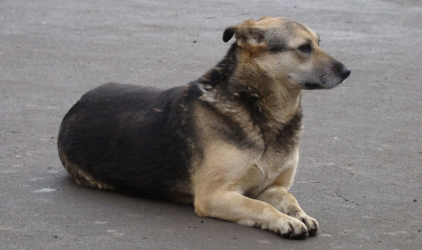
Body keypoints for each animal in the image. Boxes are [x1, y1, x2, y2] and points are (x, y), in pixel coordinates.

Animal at [57, 16, 352, 239]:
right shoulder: (214, 196)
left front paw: (300, 215)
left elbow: (290, 200)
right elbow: (258, 206)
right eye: (304, 48)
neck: (260, 111)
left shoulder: (273, 188)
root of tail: (75, 106)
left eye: (317, 43)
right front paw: (285, 221)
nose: (348, 72)